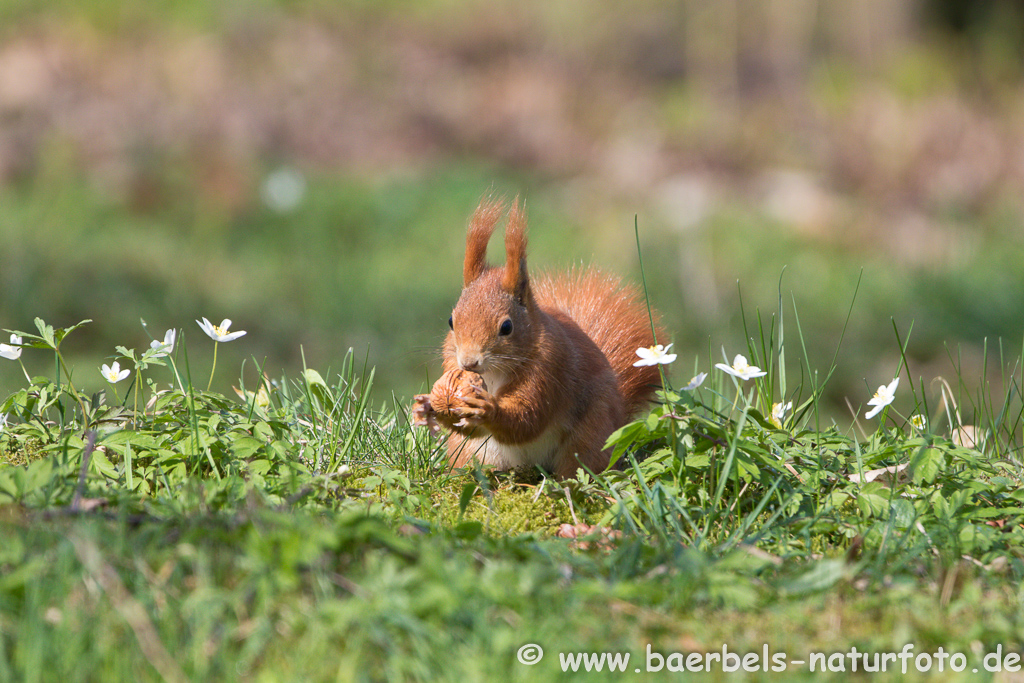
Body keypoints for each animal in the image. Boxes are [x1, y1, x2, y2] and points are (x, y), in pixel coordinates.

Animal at [415, 194, 663, 479]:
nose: (468, 363)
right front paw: (426, 406)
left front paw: (488, 409)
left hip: (591, 435)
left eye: (507, 327)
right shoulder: (450, 360)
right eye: (451, 321)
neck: (495, 371)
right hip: (469, 451)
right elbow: (470, 427)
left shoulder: (550, 366)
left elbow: (528, 418)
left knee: (578, 465)